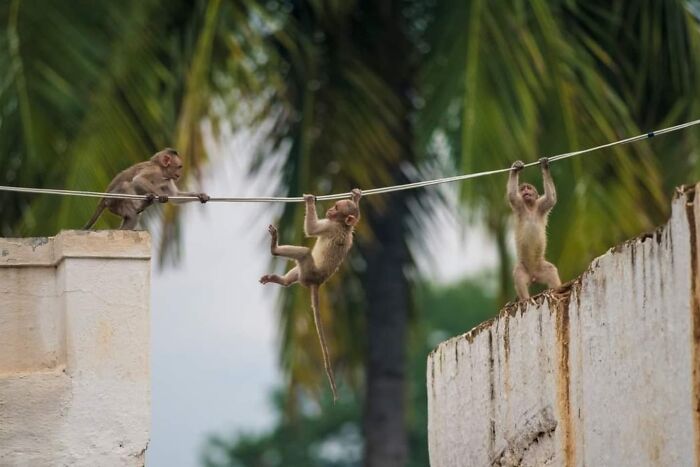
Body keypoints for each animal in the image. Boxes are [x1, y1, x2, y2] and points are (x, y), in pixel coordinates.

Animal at [260, 188, 364, 400]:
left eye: (336, 208)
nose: (330, 210)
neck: (343, 226)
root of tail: (317, 281)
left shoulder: (329, 226)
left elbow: (312, 230)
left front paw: (309, 201)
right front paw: (356, 197)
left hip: (309, 271)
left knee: (304, 253)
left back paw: (274, 249)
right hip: (305, 273)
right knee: (297, 268)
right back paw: (281, 280)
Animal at [506, 157, 560, 300]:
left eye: (528, 188)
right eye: (522, 189)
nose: (525, 191)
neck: (530, 207)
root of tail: (533, 276)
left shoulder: (540, 206)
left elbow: (551, 199)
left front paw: (545, 166)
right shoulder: (519, 205)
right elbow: (512, 195)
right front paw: (516, 168)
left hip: (541, 268)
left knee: (551, 271)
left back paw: (556, 289)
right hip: (524, 268)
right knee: (519, 275)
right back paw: (525, 298)